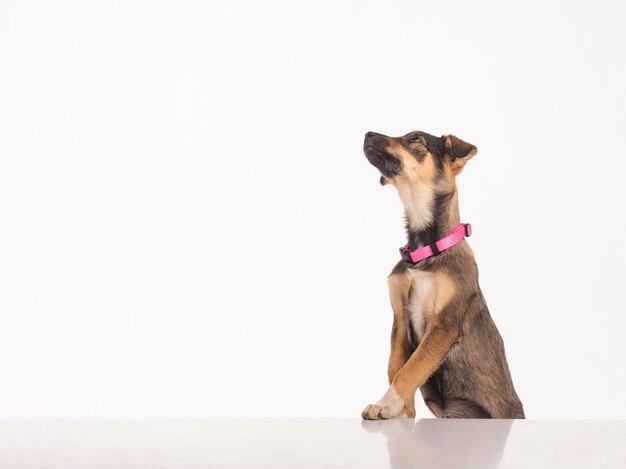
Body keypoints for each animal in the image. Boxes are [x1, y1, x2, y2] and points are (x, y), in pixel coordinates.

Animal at [360, 130, 520, 418]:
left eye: (415, 139)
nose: (368, 134)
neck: (425, 252)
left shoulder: (444, 324)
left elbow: (411, 369)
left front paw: (386, 404)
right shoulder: (400, 319)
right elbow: (396, 366)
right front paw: (401, 410)